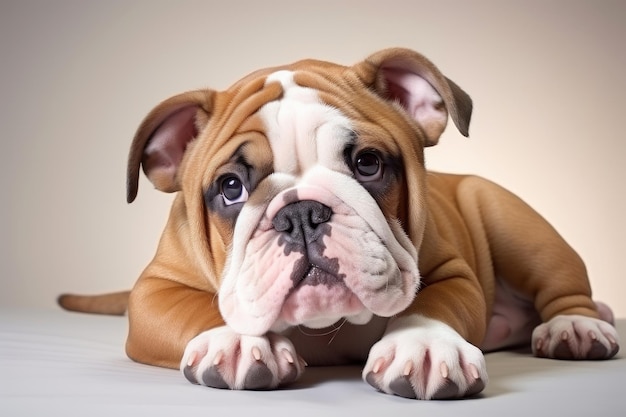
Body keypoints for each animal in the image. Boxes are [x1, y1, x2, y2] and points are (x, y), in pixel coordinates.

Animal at [57, 47, 616, 398]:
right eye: (230, 188)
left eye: (367, 163)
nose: (300, 213)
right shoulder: (152, 293)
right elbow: (200, 308)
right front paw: (236, 341)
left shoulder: (452, 273)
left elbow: (435, 303)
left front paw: (423, 347)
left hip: (513, 222)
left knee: (563, 289)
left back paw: (578, 327)